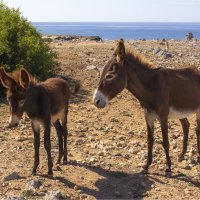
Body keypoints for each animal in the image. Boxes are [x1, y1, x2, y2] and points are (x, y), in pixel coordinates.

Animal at [93, 39, 200, 173]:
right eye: (100, 74)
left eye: (109, 76)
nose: (95, 101)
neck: (153, 86)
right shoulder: (148, 115)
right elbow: (150, 140)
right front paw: (146, 165)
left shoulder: (163, 116)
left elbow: (165, 142)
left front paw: (168, 167)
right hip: (180, 111)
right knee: (186, 125)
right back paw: (182, 155)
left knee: (197, 129)